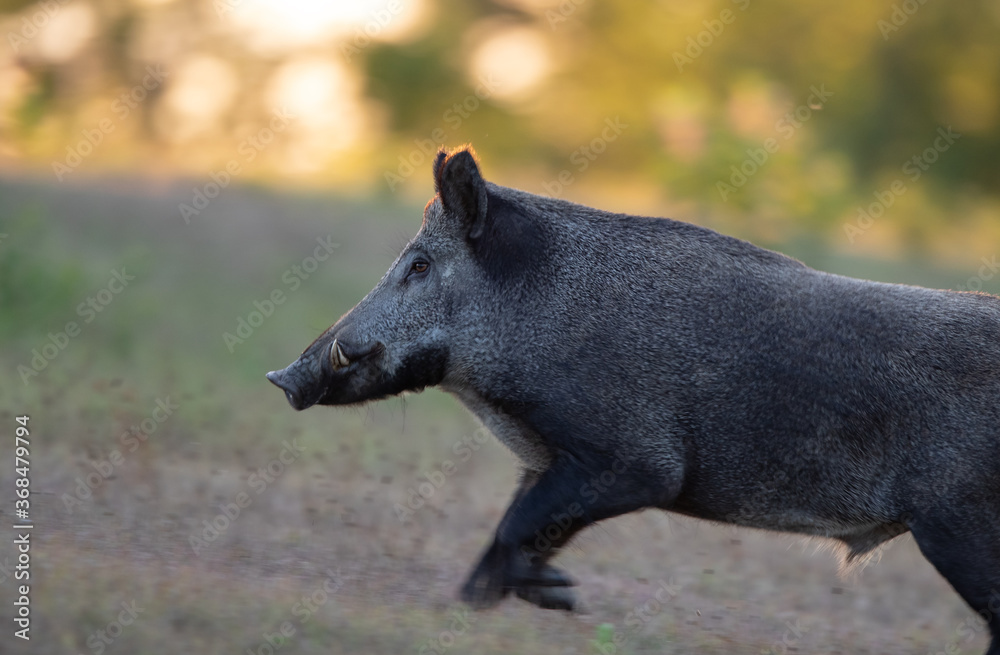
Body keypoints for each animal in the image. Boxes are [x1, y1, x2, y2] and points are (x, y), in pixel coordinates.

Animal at [267, 145, 1000, 654]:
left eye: (419, 265)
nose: (283, 378)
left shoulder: (636, 461)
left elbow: (518, 526)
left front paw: (557, 600)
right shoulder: (546, 462)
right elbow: (510, 530)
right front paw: (485, 605)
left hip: (958, 524)